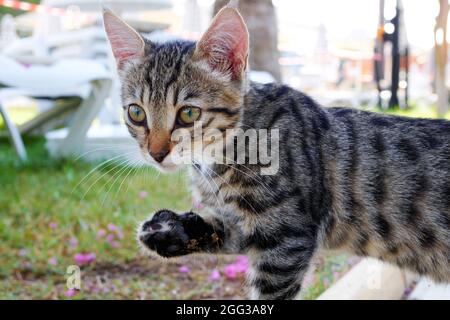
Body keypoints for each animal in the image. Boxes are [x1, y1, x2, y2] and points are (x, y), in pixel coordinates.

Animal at [103, 5, 450, 300]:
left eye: (188, 114)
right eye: (136, 113)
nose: (156, 153)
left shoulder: (286, 238)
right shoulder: (249, 227)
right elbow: (222, 230)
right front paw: (167, 230)